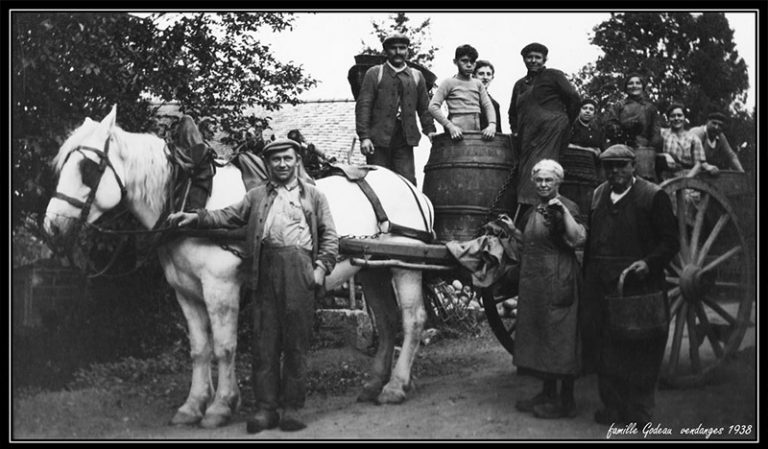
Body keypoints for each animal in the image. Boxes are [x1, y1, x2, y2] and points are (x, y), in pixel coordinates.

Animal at [43, 107, 438, 428]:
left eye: (89, 168)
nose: (51, 228)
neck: (191, 196)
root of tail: (410, 186)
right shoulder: (186, 292)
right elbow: (200, 349)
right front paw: (193, 406)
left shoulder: (220, 288)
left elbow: (224, 346)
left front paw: (220, 406)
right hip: (372, 268)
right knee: (386, 321)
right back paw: (374, 385)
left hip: (405, 265)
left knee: (412, 319)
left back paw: (396, 386)